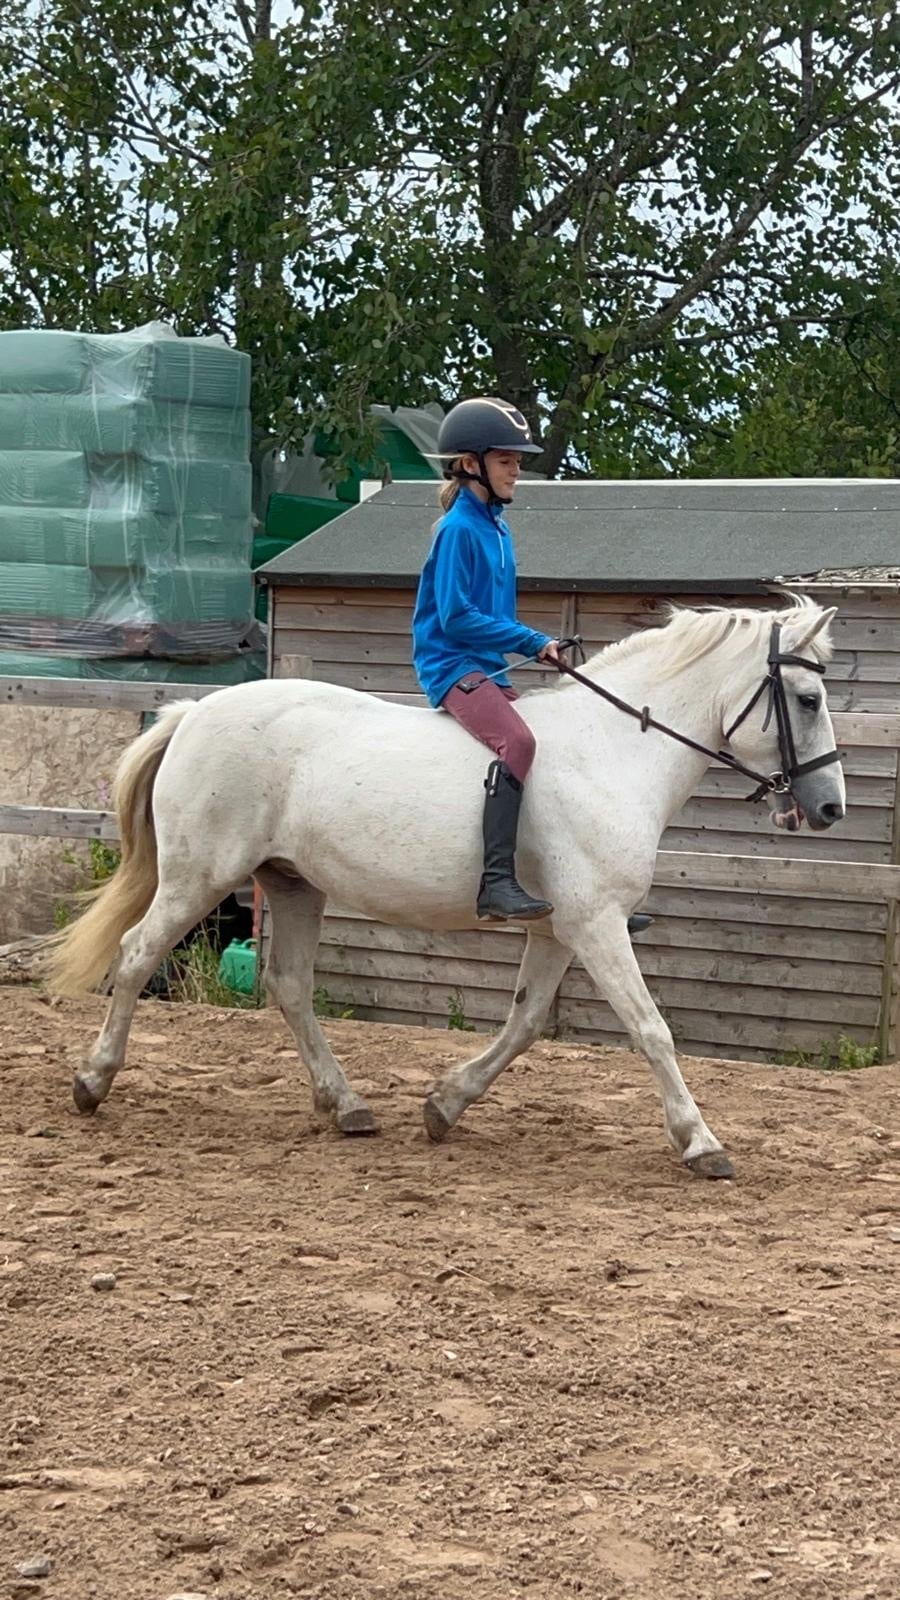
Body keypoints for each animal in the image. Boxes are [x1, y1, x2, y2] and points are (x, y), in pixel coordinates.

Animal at [47, 597, 845, 1180]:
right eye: (807, 699)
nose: (830, 809)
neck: (617, 751)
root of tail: (194, 713)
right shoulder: (596, 924)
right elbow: (651, 1029)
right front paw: (701, 1143)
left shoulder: (559, 929)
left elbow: (524, 1024)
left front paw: (445, 1105)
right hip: (199, 876)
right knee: (137, 954)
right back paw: (92, 1082)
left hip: (295, 884)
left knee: (291, 985)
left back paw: (346, 1106)